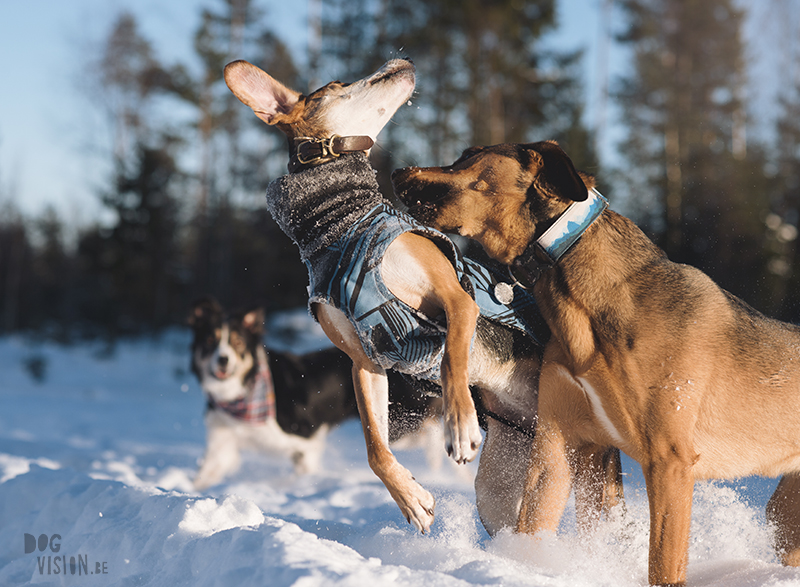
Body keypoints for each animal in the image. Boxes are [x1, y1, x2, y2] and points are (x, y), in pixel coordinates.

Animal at [223, 62, 624, 536]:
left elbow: (452, 360)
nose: (400, 63)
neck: (340, 225)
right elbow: (375, 449)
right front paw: (411, 498)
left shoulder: (457, 301)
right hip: (500, 485)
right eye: (337, 86)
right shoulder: (366, 360)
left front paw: (459, 423)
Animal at [390, 140, 800, 584]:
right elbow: (533, 523)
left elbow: (663, 563)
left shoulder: (669, 462)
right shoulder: (558, 443)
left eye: (469, 154)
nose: (395, 171)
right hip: (783, 517)